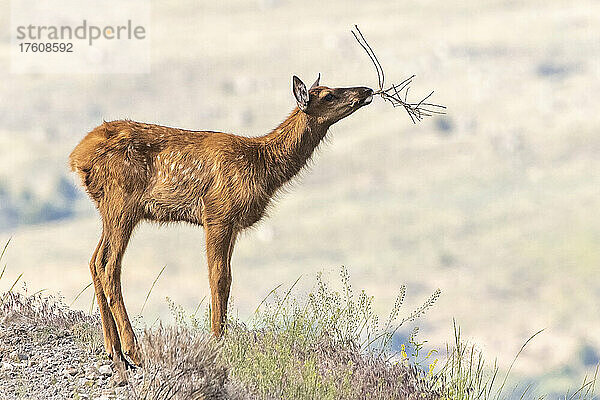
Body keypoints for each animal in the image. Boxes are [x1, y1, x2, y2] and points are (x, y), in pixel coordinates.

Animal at [69, 75, 370, 366]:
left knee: (95, 261)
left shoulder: (233, 224)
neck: (262, 166)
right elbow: (219, 277)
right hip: (122, 203)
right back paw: (134, 351)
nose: (366, 90)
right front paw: (217, 340)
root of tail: (77, 157)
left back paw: (114, 351)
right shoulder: (218, 213)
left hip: (109, 209)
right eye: (328, 95)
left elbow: (228, 278)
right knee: (109, 265)